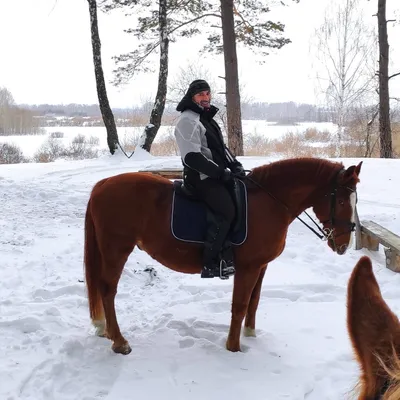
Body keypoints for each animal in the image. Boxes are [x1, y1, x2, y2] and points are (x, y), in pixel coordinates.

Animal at [83, 158, 362, 354]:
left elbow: (254, 301)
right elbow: (239, 305)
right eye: (341, 202)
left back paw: (108, 333)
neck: (270, 203)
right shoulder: (248, 268)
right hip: (117, 250)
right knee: (107, 290)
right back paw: (119, 342)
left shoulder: (261, 266)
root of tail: (102, 185)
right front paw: (234, 347)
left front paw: (250, 335)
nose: (344, 244)